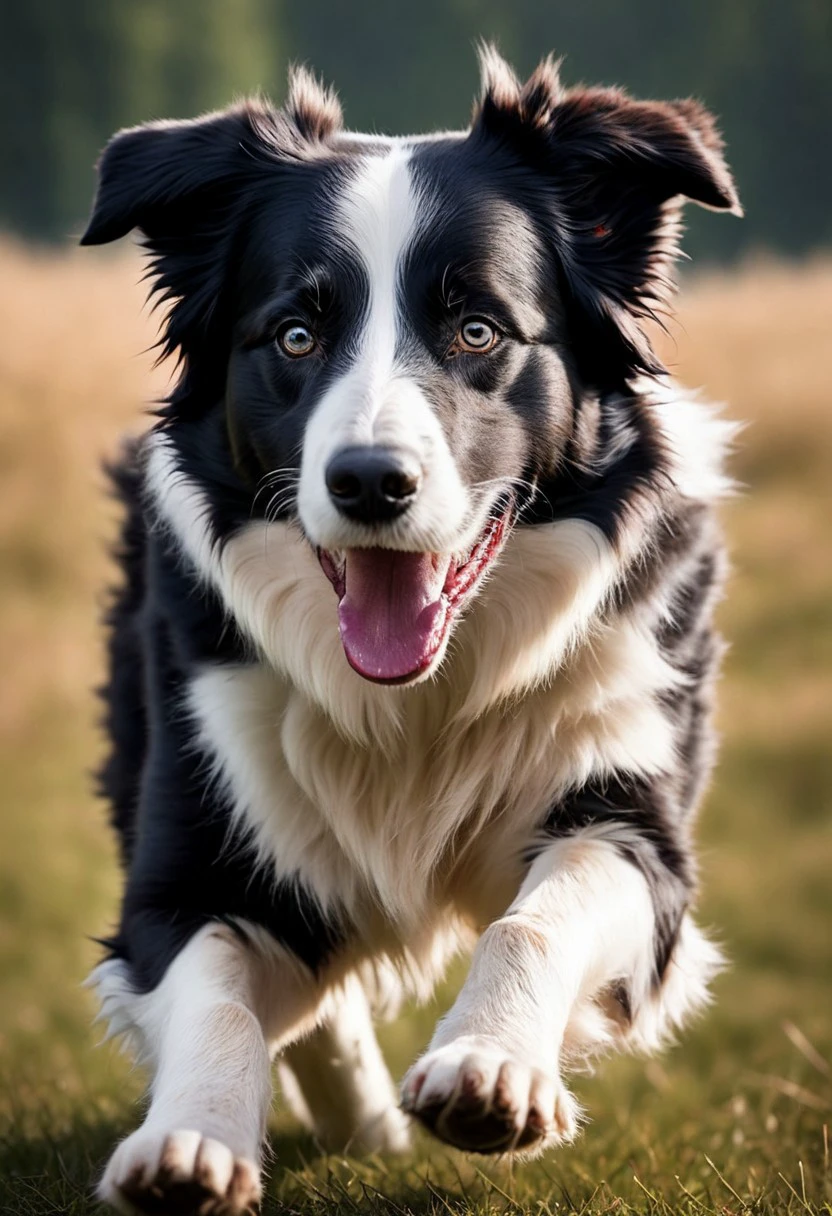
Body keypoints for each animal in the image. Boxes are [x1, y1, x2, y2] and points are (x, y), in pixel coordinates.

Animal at [79, 47, 739, 1216]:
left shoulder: (634, 818)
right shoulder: (186, 856)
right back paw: (355, 1121)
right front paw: (190, 1141)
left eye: (477, 331)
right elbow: (218, 993)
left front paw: (492, 1067)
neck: (418, 694)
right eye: (295, 335)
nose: (370, 482)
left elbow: (538, 914)